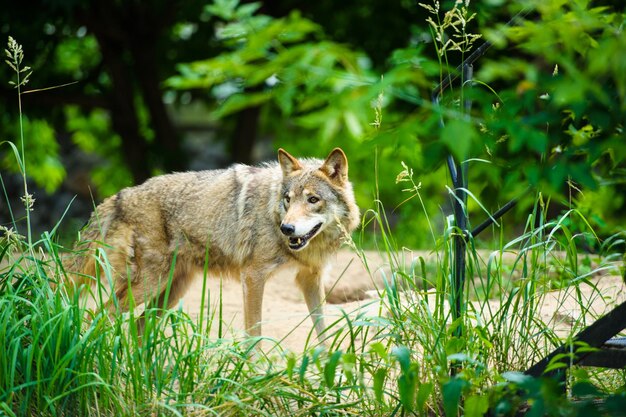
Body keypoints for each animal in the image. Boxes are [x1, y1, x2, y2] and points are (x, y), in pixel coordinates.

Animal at [65, 148, 358, 340]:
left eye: (312, 199)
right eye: (288, 199)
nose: (286, 228)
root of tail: (117, 197)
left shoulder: (310, 280)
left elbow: (324, 334)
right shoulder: (253, 277)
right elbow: (254, 335)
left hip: (170, 292)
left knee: (135, 327)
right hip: (148, 285)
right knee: (95, 317)